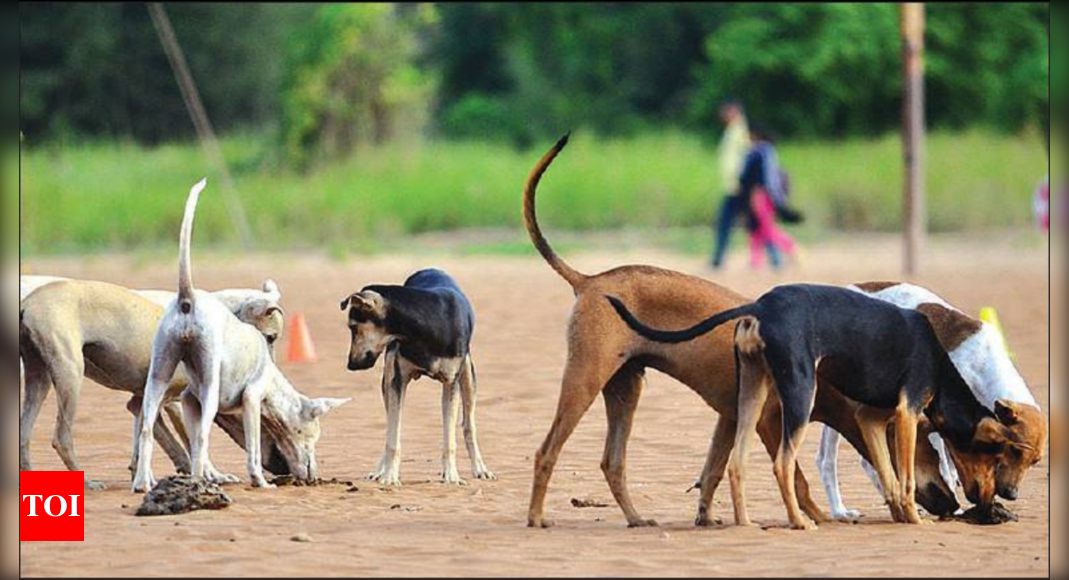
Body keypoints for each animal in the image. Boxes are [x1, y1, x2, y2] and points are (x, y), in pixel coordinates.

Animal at [127, 179, 348, 493]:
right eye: (313, 435)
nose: (313, 476)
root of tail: (187, 298)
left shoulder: (188, 400)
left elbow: (191, 439)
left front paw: (212, 475)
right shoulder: (251, 398)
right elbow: (250, 448)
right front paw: (259, 481)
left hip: (158, 376)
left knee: (147, 427)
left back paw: (143, 483)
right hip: (209, 383)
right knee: (202, 434)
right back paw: (196, 484)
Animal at [521, 132, 957, 531]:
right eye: (935, 452)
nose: (953, 505)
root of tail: (590, 280)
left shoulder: (729, 419)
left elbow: (714, 471)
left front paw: (707, 517)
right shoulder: (767, 423)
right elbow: (795, 477)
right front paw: (812, 517)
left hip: (625, 389)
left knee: (612, 462)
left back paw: (636, 518)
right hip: (585, 380)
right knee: (546, 451)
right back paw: (537, 517)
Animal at [816, 281, 1043, 521]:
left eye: (1035, 461)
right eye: (1015, 451)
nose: (1011, 494)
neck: (982, 366)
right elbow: (943, 464)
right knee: (826, 460)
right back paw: (839, 510)